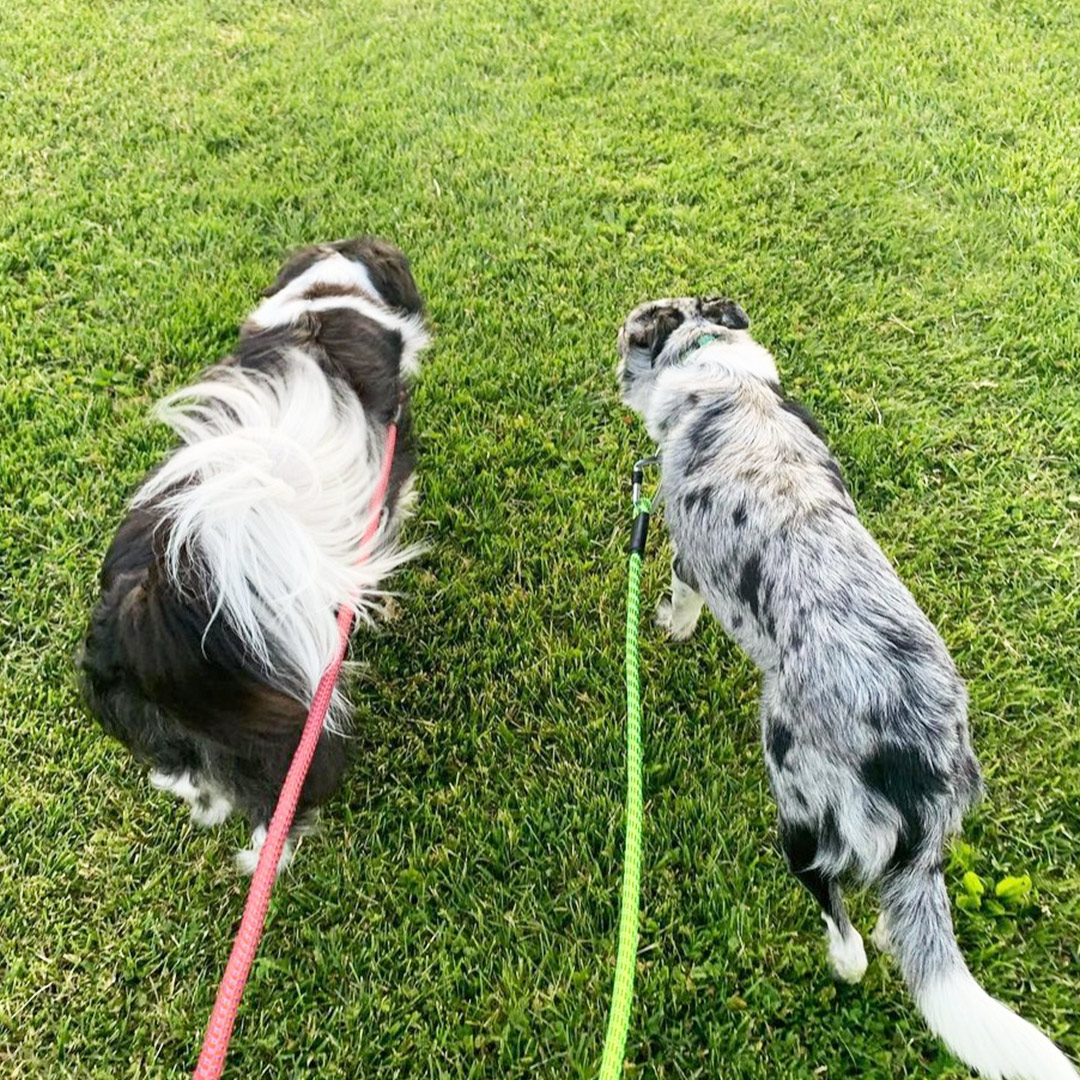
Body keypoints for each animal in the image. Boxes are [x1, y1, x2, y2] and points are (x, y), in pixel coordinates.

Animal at [622, 295, 1075, 1080]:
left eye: (631, 333)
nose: (614, 363)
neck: (718, 373)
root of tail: (921, 766)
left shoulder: (685, 555)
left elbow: (679, 604)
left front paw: (668, 628)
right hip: (914, 847)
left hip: (799, 805)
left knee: (841, 917)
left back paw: (842, 959)